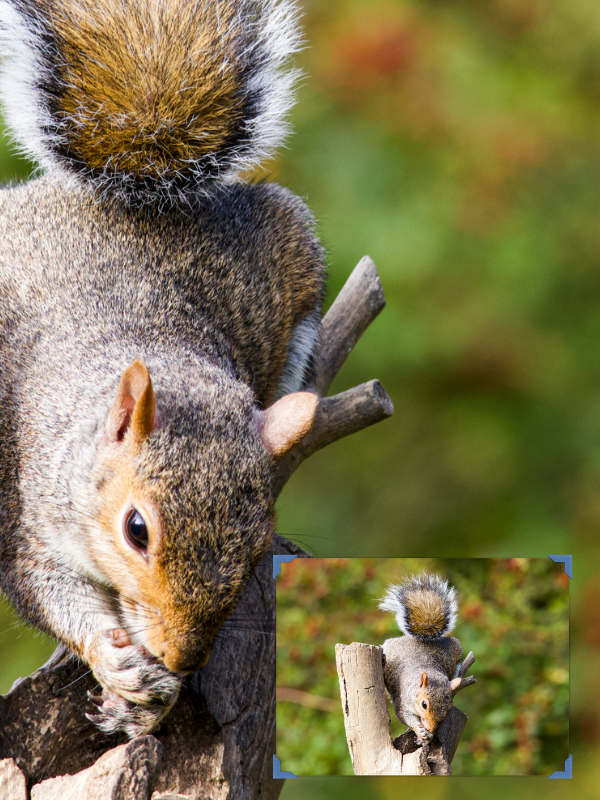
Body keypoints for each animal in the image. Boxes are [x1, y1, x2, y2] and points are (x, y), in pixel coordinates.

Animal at [0, 0, 325, 738]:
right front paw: (116, 660)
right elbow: (44, 590)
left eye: (255, 542)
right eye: (136, 529)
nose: (181, 655)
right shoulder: (29, 512)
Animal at [379, 573, 464, 744]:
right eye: (424, 704)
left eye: (448, 707)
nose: (432, 728)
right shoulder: (403, 702)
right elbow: (405, 717)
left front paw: (428, 736)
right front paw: (420, 729)